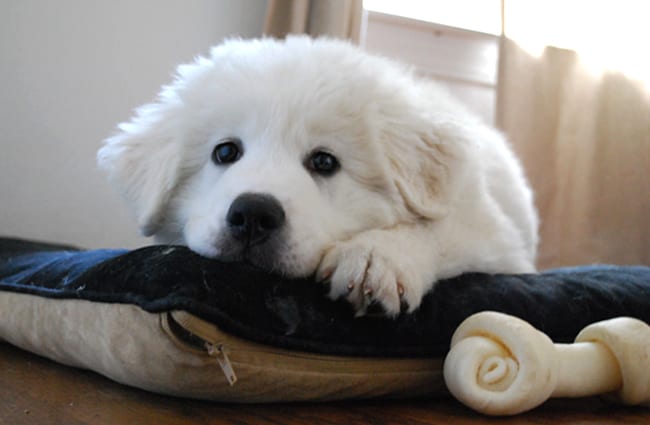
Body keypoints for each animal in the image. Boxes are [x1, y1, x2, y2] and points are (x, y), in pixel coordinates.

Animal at [98, 35, 536, 314]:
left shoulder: (497, 241)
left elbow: (438, 229)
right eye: (225, 152)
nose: (253, 214)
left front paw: (375, 258)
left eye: (324, 162)